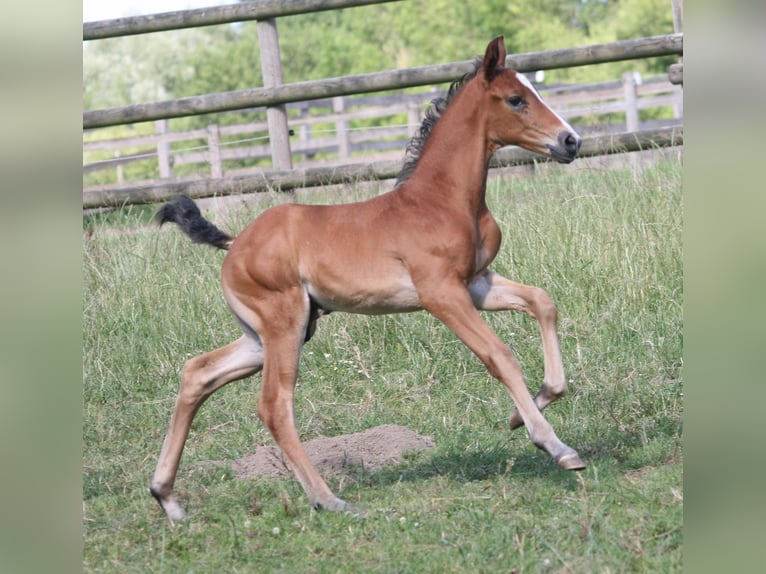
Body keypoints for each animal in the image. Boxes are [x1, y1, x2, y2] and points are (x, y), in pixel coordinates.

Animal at [150, 35, 584, 520]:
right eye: (515, 99)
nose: (571, 141)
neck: (442, 199)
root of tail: (235, 243)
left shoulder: (476, 283)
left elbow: (542, 302)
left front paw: (524, 412)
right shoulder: (440, 294)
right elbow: (500, 355)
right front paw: (554, 445)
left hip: (269, 334)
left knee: (198, 373)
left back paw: (167, 497)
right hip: (283, 324)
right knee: (274, 405)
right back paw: (328, 499)